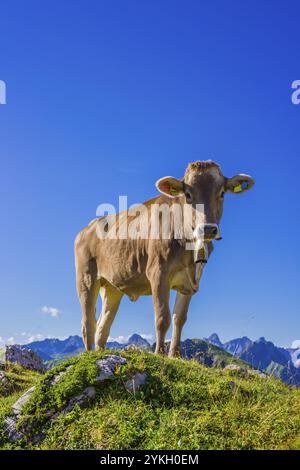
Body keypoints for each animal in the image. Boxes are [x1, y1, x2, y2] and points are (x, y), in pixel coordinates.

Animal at [74, 160, 253, 354]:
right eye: (188, 194)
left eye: (221, 193)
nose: (207, 229)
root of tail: (88, 228)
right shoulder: (158, 273)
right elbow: (162, 318)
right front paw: (159, 353)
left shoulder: (190, 282)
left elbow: (179, 318)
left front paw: (174, 355)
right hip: (86, 279)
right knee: (88, 324)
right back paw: (88, 353)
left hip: (112, 287)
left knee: (102, 327)